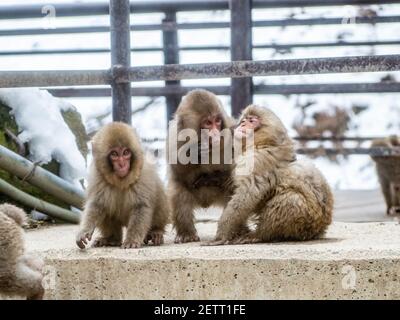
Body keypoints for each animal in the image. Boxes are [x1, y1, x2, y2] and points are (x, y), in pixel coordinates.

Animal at [76, 122, 169, 250]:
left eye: (126, 152)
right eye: (114, 154)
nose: (122, 164)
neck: (121, 181)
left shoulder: (143, 174)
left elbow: (141, 206)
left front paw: (131, 240)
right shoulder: (98, 176)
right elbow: (97, 204)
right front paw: (83, 231)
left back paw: (156, 231)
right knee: (106, 204)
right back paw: (112, 239)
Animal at [211, 104, 332, 244]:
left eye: (251, 121)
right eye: (244, 120)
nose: (243, 124)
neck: (263, 144)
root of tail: (320, 230)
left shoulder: (257, 161)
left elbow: (246, 196)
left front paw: (222, 233)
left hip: (306, 222)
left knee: (290, 199)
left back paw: (260, 235)